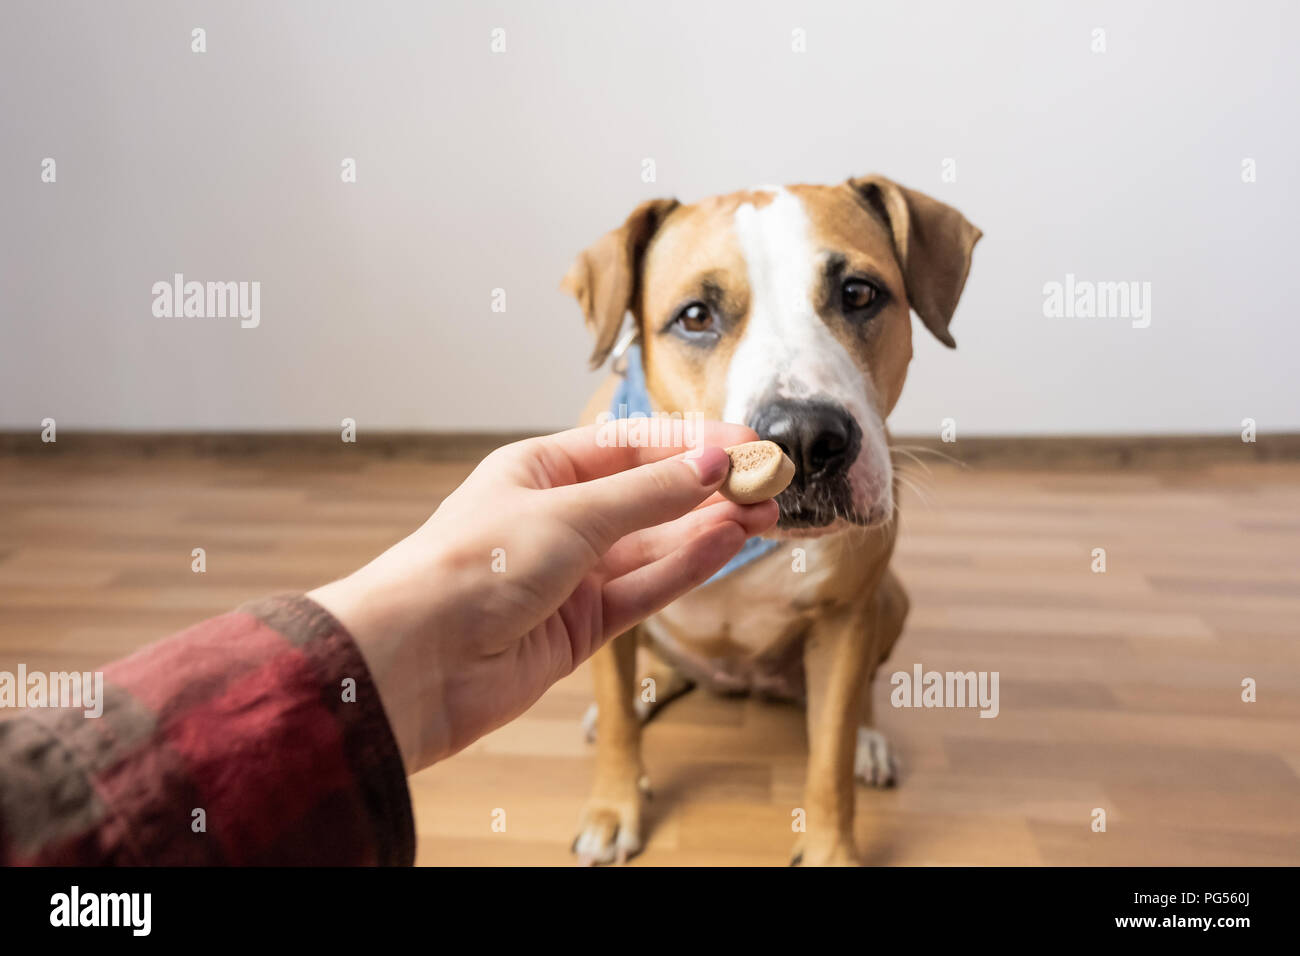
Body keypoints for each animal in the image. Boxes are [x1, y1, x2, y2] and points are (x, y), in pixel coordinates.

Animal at [556, 174, 977, 868]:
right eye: (695, 316)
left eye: (859, 293)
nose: (805, 437)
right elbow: (616, 717)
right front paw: (613, 810)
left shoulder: (845, 617)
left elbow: (830, 752)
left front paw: (832, 849)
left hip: (890, 599)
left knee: (860, 694)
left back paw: (869, 740)